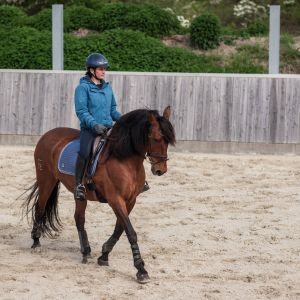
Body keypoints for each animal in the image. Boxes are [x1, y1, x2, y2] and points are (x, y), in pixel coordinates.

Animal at [23, 106, 176, 284]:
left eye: (168, 141)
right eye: (156, 138)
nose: (160, 170)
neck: (123, 159)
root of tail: (47, 134)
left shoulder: (130, 201)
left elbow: (120, 229)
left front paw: (104, 255)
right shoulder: (115, 199)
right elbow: (130, 232)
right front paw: (141, 270)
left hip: (79, 195)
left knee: (79, 218)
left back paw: (86, 251)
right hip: (46, 180)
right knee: (40, 208)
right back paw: (36, 242)